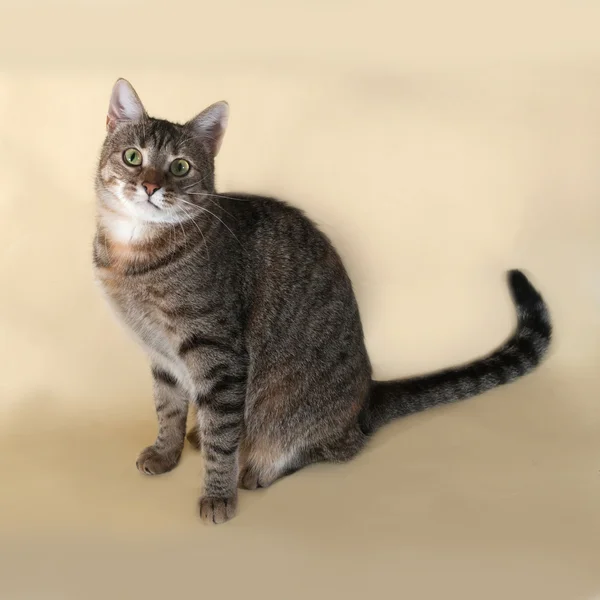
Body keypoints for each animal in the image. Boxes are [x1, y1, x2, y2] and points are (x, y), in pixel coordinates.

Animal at [95, 77, 552, 524]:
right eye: (133, 157)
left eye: (180, 166)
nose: (150, 186)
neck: (135, 256)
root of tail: (367, 396)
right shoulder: (161, 353)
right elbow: (168, 408)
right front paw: (165, 452)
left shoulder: (218, 354)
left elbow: (221, 439)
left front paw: (217, 494)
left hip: (293, 412)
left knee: (334, 446)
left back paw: (259, 468)